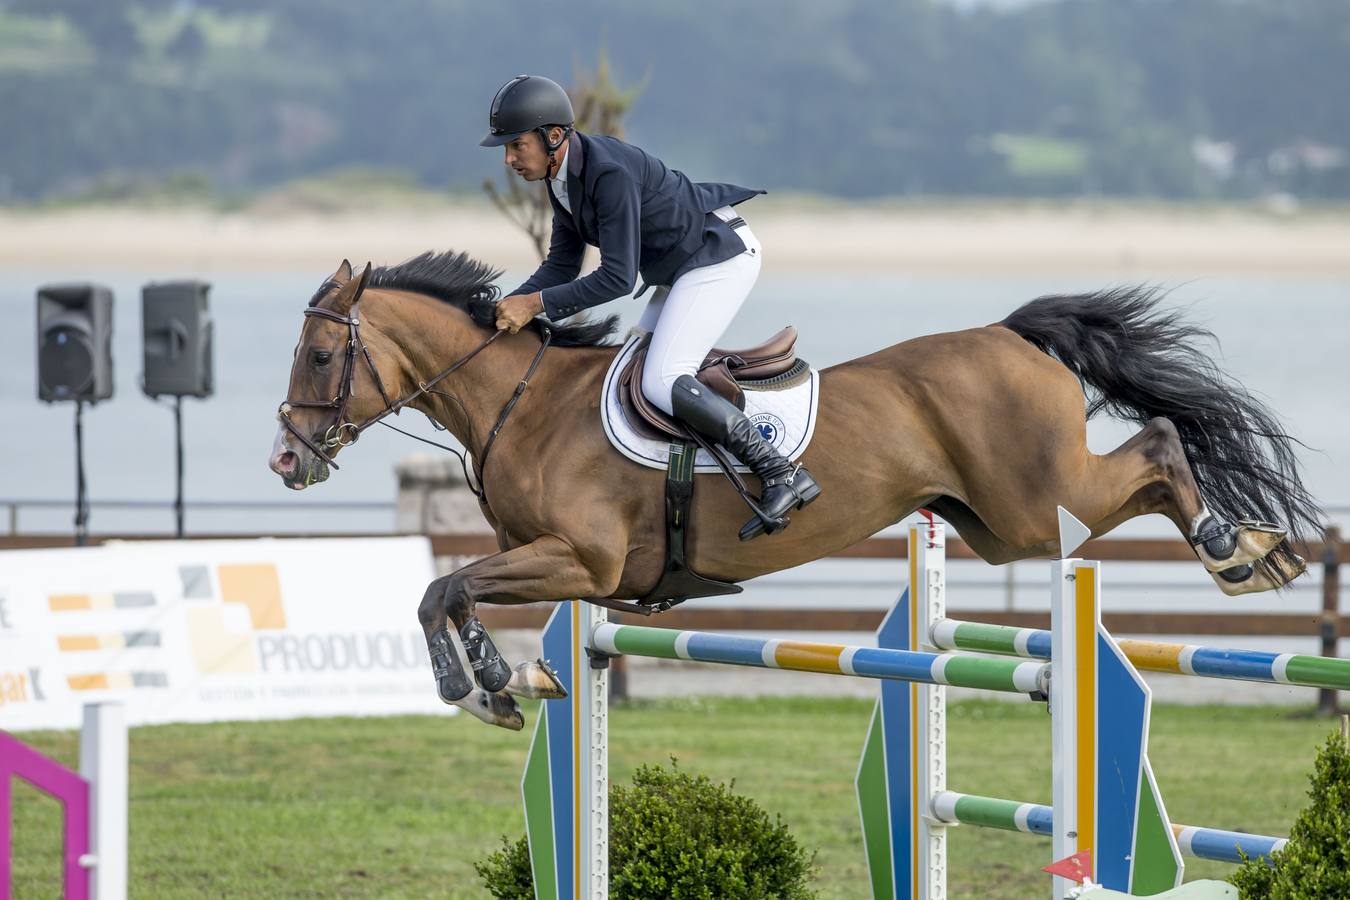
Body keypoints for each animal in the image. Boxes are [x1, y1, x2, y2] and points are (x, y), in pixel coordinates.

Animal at [268, 249, 1323, 728]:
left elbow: (440, 585)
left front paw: (480, 686)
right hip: (990, 522)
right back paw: (1252, 550)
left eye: (320, 354)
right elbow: (447, 590)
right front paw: (508, 681)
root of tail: (1010, 334)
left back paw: (1240, 552)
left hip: (1034, 505)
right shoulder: (555, 566)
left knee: (1157, 445)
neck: (524, 402)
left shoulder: (582, 560)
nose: (285, 462)